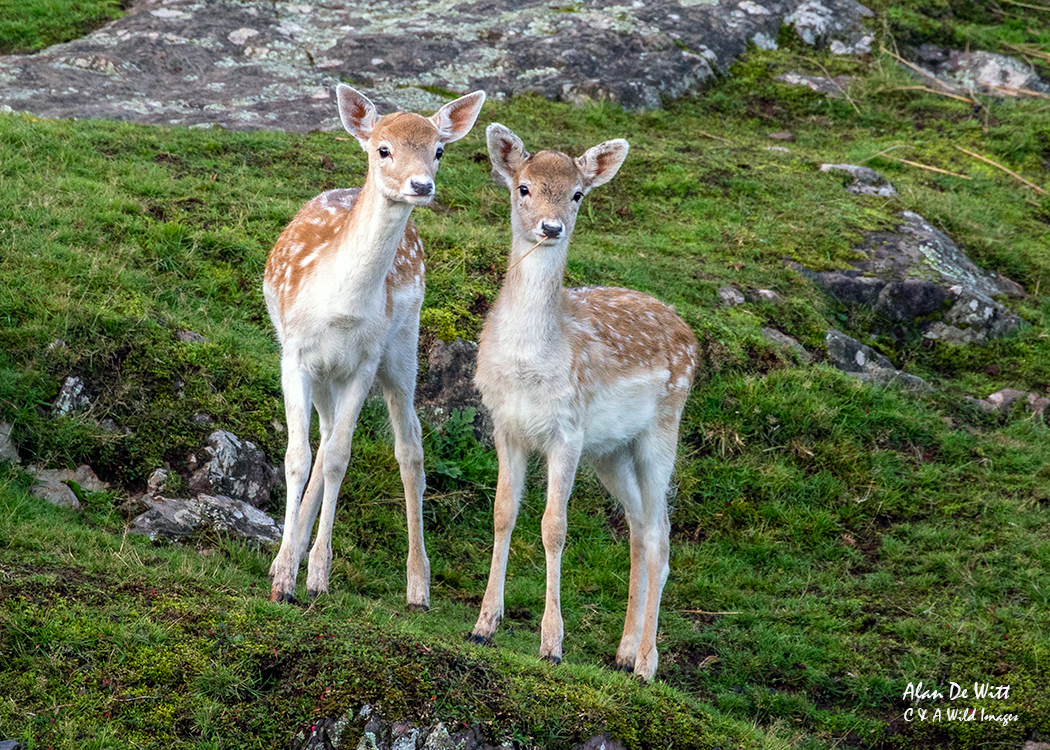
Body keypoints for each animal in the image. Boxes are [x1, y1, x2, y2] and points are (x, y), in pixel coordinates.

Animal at [264, 85, 486, 607]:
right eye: (383, 149)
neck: (340, 307)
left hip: (402, 347)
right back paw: (291, 553)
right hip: (328, 375)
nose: (421, 185)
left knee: (411, 448)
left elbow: (340, 459)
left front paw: (317, 577)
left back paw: (418, 586)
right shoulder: (295, 356)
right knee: (326, 437)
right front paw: (283, 576)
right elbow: (298, 457)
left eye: (439, 150)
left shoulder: (364, 362)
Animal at [467, 124, 698, 681]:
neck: (532, 362)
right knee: (639, 528)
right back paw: (623, 651)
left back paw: (646, 663)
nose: (551, 227)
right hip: (610, 452)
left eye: (577, 194)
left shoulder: (567, 432)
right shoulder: (506, 426)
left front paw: (551, 644)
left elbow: (554, 526)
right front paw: (484, 625)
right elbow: (503, 513)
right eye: (523, 187)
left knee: (662, 536)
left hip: (663, 428)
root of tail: (692, 338)